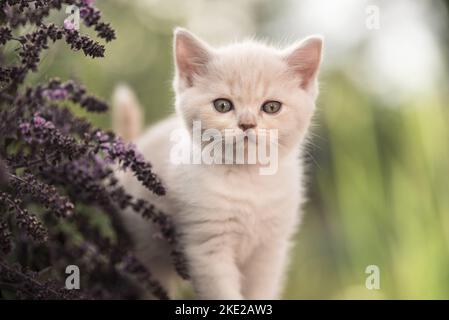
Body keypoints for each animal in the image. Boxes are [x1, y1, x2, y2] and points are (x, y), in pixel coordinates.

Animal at [113, 28, 322, 300]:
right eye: (222, 105)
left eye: (271, 107)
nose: (247, 124)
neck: (248, 179)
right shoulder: (207, 248)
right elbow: (223, 293)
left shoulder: (270, 250)